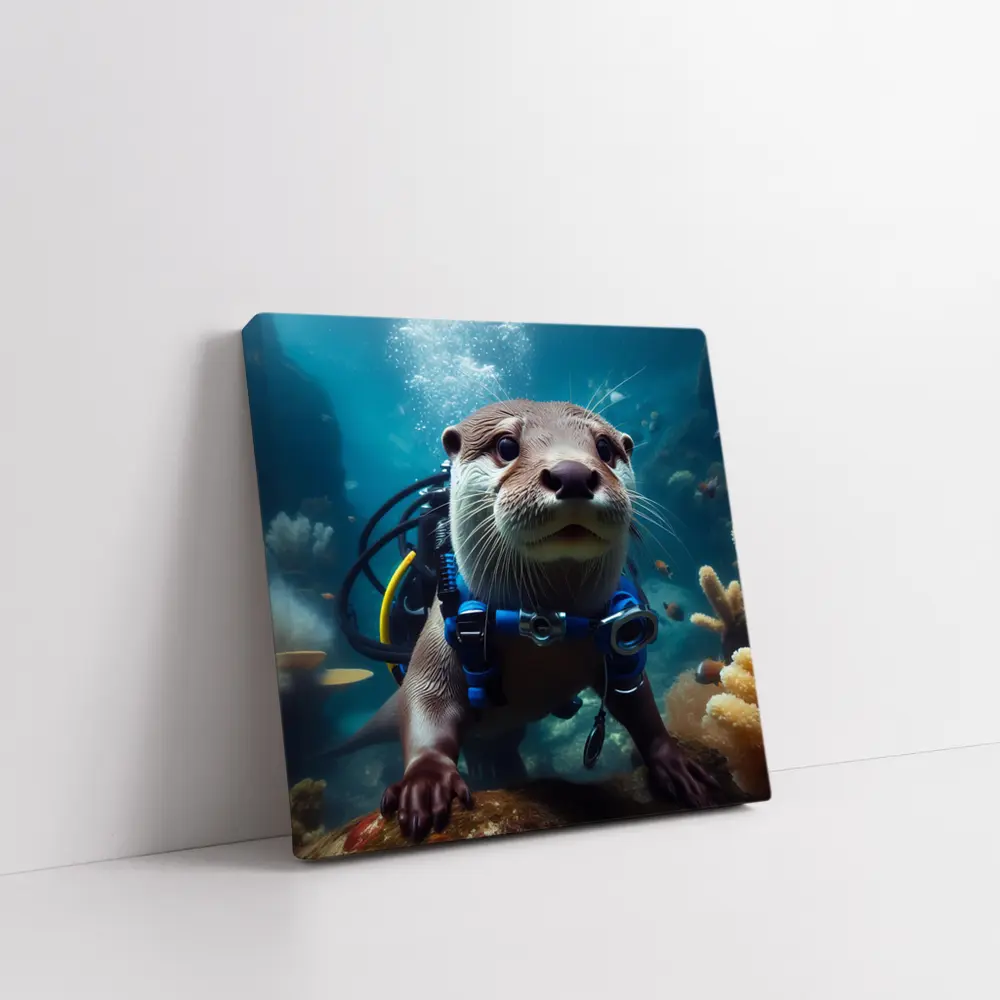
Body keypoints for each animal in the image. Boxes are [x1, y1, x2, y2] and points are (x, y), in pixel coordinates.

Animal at [345, 400, 715, 841]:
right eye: (506, 445)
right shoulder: (437, 636)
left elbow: (637, 701)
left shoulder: (622, 636)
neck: (544, 625)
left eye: (605, 448)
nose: (572, 474)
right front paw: (425, 783)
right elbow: (426, 699)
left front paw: (674, 763)